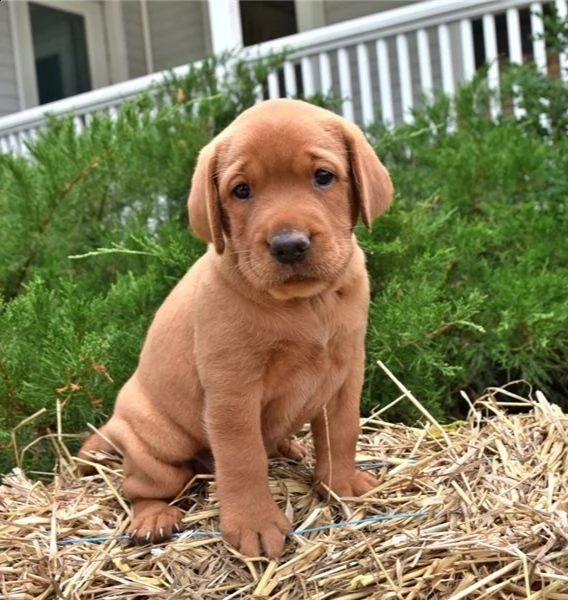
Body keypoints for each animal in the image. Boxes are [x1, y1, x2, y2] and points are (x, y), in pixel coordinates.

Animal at [77, 98, 392, 556]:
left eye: (323, 177)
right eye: (241, 190)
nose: (289, 245)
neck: (305, 304)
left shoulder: (346, 370)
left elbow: (342, 430)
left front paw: (341, 483)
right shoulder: (232, 391)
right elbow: (243, 460)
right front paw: (254, 524)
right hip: (158, 446)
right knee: (142, 487)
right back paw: (154, 518)